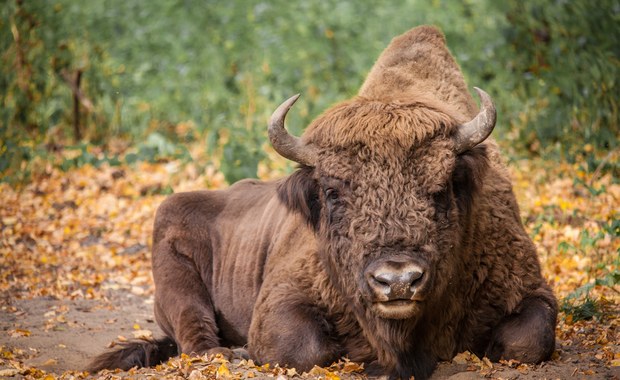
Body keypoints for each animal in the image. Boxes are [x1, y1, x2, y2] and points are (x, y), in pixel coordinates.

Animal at [91, 25, 556, 378]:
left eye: (441, 188)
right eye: (333, 192)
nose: (397, 280)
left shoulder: (530, 288)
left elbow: (528, 340)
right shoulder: (281, 301)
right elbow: (304, 348)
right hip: (177, 282)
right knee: (196, 337)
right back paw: (228, 352)